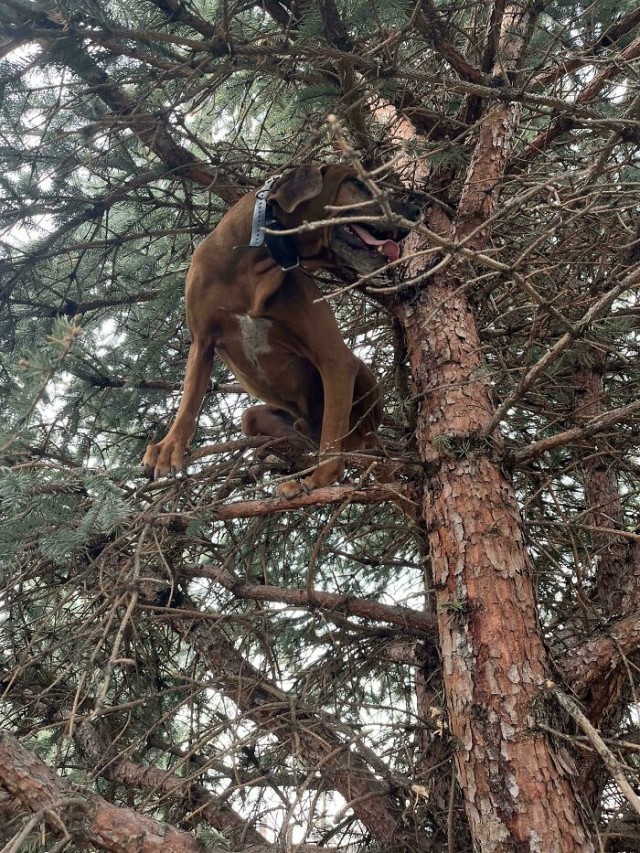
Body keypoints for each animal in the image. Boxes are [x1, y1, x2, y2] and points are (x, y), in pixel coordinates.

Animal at [142, 163, 418, 496]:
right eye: (356, 183)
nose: (416, 210)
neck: (256, 264)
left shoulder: (336, 359)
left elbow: (331, 442)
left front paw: (318, 479)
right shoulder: (201, 341)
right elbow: (189, 400)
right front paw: (168, 447)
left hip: (361, 386)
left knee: (339, 438)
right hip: (256, 418)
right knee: (285, 433)